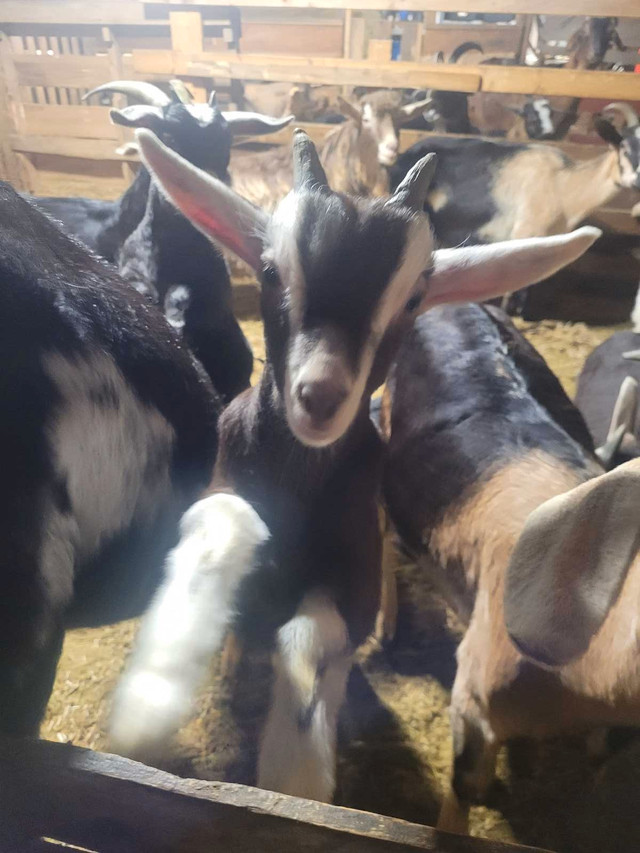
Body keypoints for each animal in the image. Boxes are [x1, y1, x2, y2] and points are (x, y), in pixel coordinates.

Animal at [106, 123, 600, 804]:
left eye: (413, 297)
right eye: (269, 270)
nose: (320, 395)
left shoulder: (354, 569)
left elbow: (313, 639)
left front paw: (295, 776)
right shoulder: (222, 479)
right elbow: (222, 521)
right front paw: (150, 698)